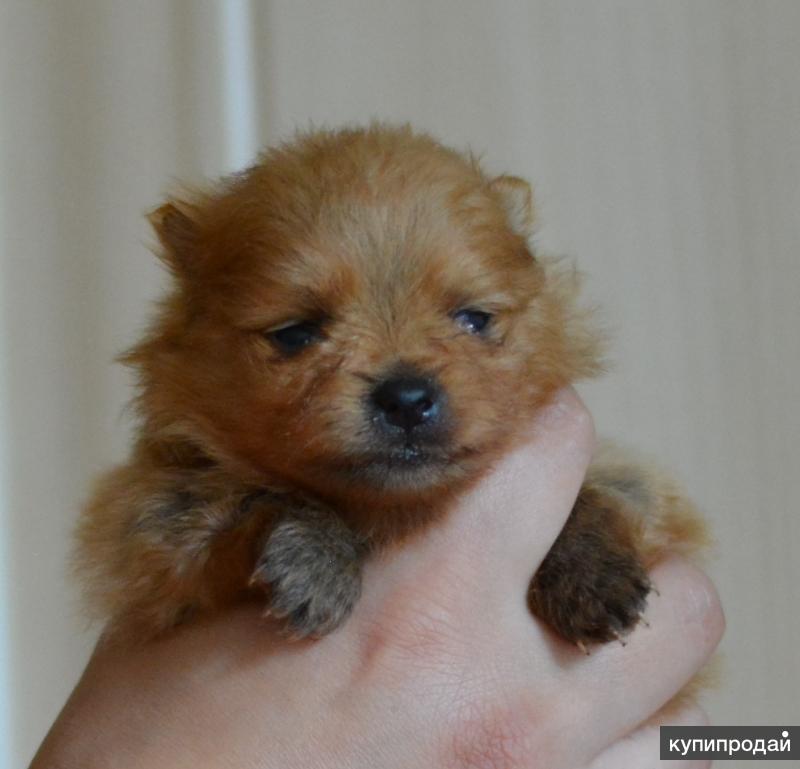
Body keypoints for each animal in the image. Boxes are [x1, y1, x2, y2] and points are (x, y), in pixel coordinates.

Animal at [73, 126, 708, 648]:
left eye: (474, 319)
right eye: (295, 333)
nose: (406, 399)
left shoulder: (635, 481)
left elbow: (600, 492)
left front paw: (591, 570)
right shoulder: (151, 522)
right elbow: (259, 495)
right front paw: (316, 557)